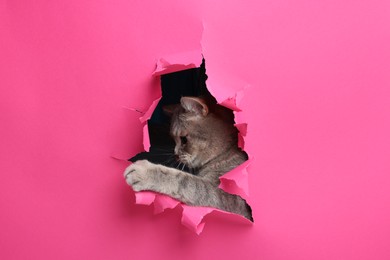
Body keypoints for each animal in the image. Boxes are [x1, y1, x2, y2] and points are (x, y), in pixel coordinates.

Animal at [123, 96, 254, 220]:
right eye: (172, 139)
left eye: (184, 140)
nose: (175, 154)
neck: (228, 149)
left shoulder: (231, 198)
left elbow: (185, 181)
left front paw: (144, 171)